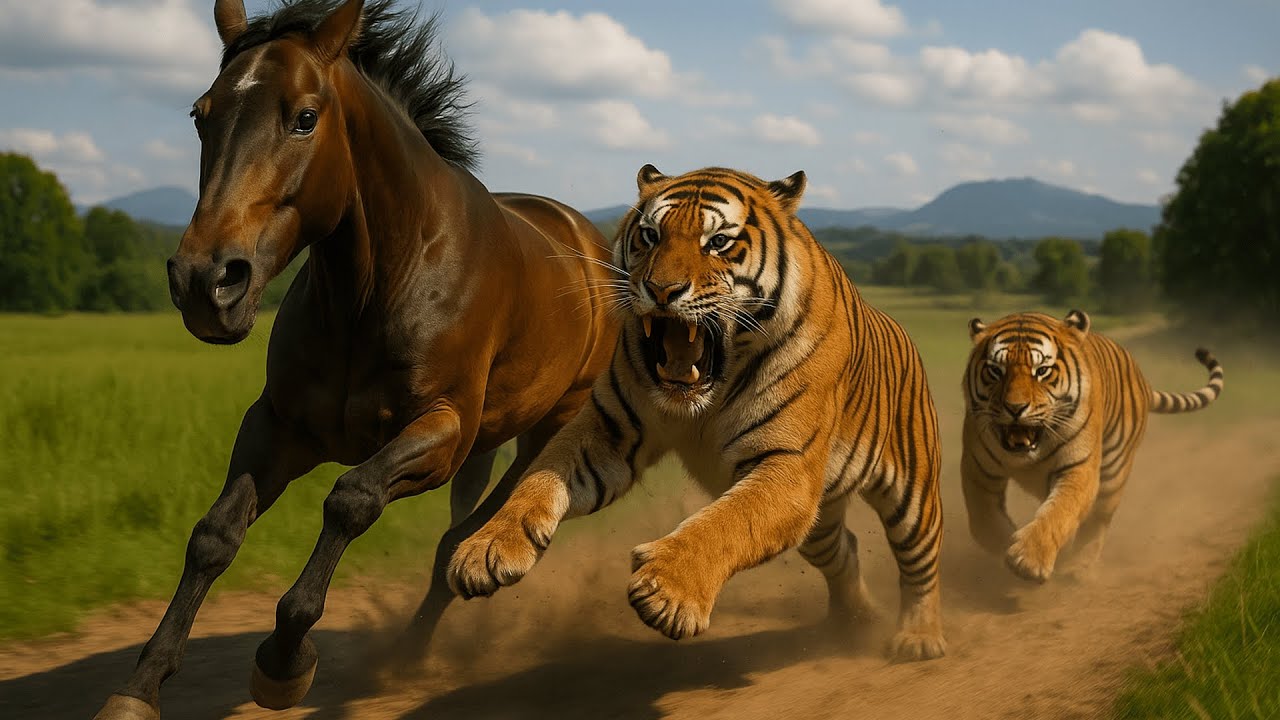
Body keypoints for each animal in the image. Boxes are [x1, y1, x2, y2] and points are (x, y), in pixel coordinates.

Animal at [93, 1, 620, 717]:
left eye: (304, 117)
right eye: (201, 114)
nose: (207, 282)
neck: (376, 288)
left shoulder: (440, 431)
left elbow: (351, 499)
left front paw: (283, 663)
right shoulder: (278, 424)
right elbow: (214, 535)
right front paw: (139, 686)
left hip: (546, 432)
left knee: (461, 538)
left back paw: (408, 656)